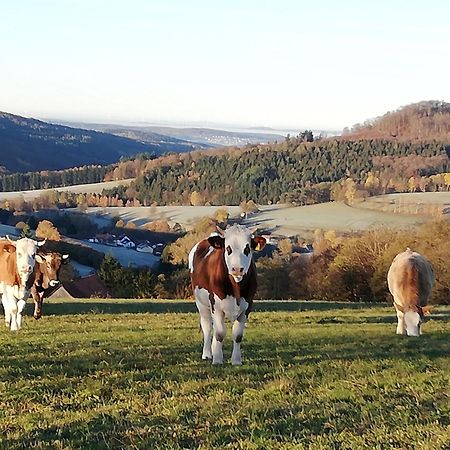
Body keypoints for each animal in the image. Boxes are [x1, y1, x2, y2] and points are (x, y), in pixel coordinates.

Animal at [188, 225, 266, 366]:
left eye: (247, 248)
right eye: (228, 248)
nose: (237, 269)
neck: (236, 288)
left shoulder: (247, 306)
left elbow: (238, 335)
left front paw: (236, 360)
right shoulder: (216, 305)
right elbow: (219, 334)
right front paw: (218, 359)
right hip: (201, 303)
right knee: (207, 327)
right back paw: (207, 354)